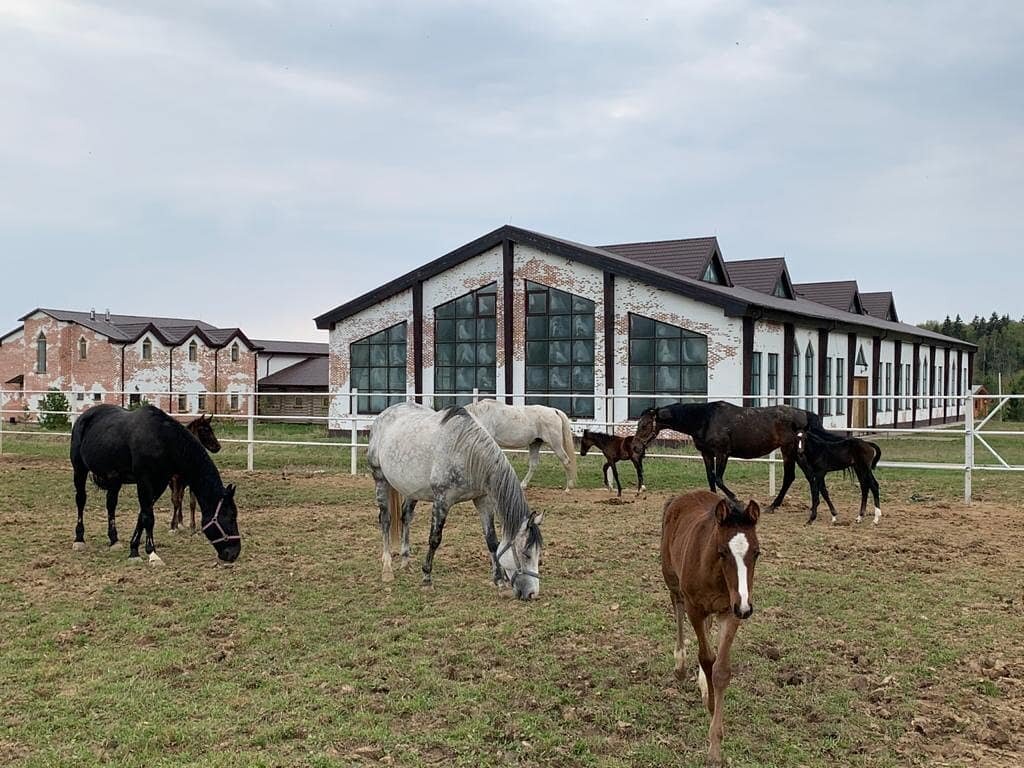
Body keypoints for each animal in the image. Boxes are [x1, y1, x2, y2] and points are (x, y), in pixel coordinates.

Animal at [70, 404, 241, 564]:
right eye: (231, 516)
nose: (234, 553)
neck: (162, 439)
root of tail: (83, 417)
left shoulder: (160, 483)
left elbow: (143, 514)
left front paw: (134, 549)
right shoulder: (144, 481)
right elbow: (148, 516)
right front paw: (151, 553)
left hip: (114, 480)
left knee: (111, 505)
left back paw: (114, 541)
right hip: (79, 469)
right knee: (80, 500)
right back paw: (79, 539)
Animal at [367, 401, 544, 599]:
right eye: (526, 554)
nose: (532, 593)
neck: (467, 453)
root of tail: (383, 415)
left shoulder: (483, 500)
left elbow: (492, 540)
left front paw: (499, 581)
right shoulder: (442, 501)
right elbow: (434, 539)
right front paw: (427, 579)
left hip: (411, 489)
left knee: (405, 517)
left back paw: (406, 562)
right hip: (380, 478)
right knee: (386, 520)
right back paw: (387, 568)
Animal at [636, 401, 820, 511]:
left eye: (644, 425)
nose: (636, 447)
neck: (705, 419)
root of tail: (805, 414)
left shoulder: (722, 453)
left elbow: (718, 479)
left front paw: (737, 501)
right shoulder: (706, 454)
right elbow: (710, 478)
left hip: (789, 450)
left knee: (790, 476)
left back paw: (774, 506)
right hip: (795, 452)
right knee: (807, 475)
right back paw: (811, 506)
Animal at [661, 490, 761, 766]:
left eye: (757, 553)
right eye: (722, 551)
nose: (746, 607)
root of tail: (683, 496)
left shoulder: (730, 612)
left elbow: (721, 670)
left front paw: (715, 745)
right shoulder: (695, 608)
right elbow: (707, 657)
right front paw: (712, 706)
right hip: (672, 580)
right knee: (676, 606)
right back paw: (680, 665)